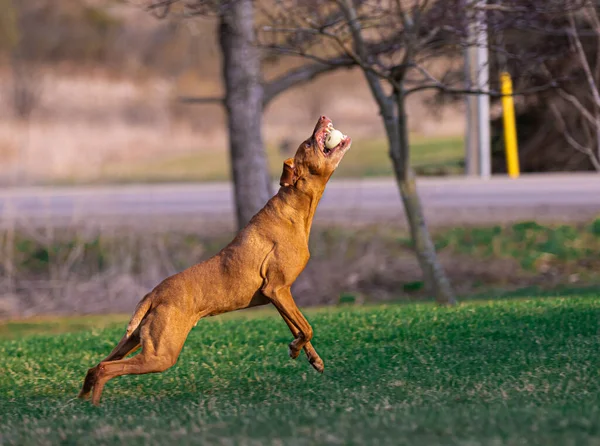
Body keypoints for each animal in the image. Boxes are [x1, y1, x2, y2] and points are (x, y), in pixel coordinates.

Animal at [79, 115, 352, 404]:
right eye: (309, 143)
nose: (323, 117)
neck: (293, 209)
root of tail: (153, 294)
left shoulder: (278, 295)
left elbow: (298, 328)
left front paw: (308, 356)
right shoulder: (277, 289)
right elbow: (307, 328)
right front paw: (296, 349)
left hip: (133, 341)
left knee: (95, 366)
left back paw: (83, 400)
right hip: (160, 354)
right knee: (106, 369)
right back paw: (95, 406)